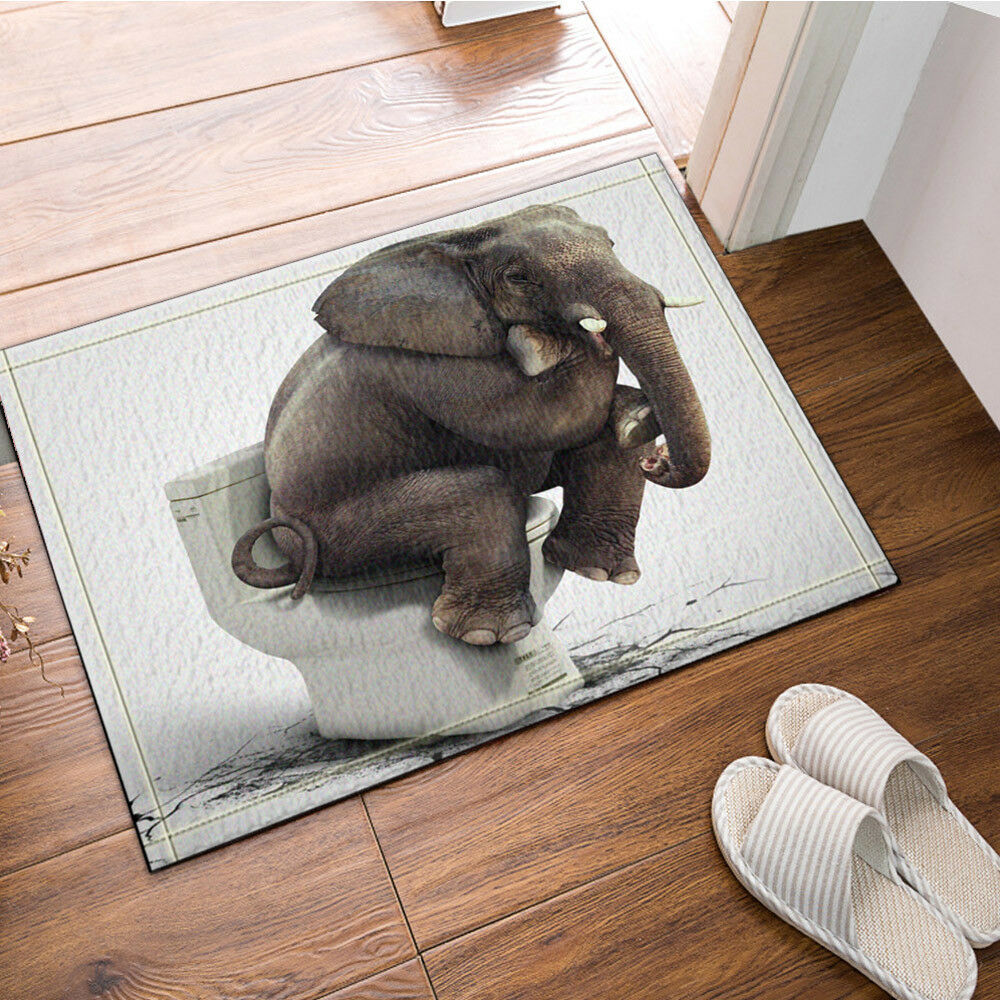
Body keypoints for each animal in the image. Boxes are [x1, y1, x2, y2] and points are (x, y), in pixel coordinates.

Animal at [231, 203, 711, 647]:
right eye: (519, 278)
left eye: (611, 243)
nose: (659, 463)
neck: (458, 240)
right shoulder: (425, 362)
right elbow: (535, 417)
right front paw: (553, 347)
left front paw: (636, 417)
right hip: (338, 533)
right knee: (482, 491)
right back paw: (487, 635)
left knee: (605, 449)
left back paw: (598, 568)